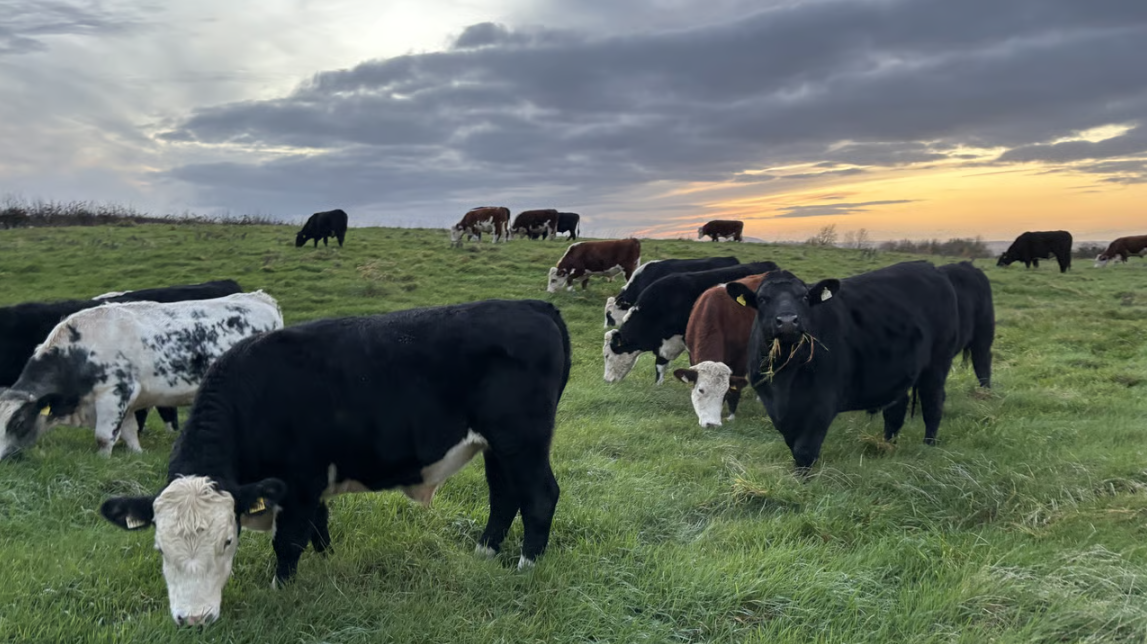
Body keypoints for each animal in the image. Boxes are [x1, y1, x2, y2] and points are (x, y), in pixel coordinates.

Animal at [98, 299, 570, 626]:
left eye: (227, 542)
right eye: (160, 548)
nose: (193, 619)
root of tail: (532, 305)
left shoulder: (299, 480)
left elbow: (289, 541)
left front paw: (281, 590)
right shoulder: (310, 484)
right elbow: (318, 527)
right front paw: (326, 561)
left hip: (522, 440)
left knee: (540, 496)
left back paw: (527, 565)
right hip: (498, 446)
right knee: (504, 495)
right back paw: (485, 552)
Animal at [672, 273, 767, 427]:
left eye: (725, 392)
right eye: (701, 390)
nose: (712, 424)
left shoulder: (742, 358)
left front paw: (731, 416)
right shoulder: (691, 354)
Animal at [724, 261, 959, 473]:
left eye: (805, 297)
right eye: (762, 299)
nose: (788, 321)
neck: (785, 379)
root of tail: (929, 267)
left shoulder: (822, 402)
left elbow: (805, 450)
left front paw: (803, 482)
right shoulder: (774, 406)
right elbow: (793, 444)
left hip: (937, 364)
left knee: (932, 404)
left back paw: (928, 445)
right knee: (895, 411)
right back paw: (888, 446)